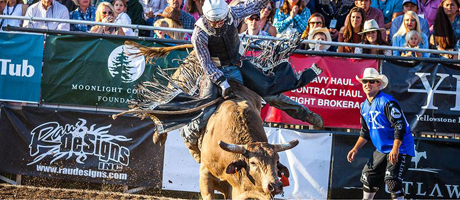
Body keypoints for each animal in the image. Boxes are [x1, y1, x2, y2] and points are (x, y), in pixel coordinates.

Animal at [113, 41, 308, 198]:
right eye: (252, 162)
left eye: (276, 161)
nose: (275, 185)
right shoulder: (206, 175)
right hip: (176, 83)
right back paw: (158, 135)